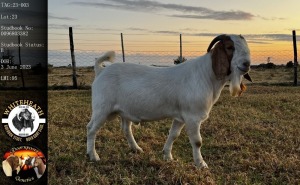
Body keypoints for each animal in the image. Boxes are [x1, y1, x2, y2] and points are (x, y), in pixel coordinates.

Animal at [86, 34, 251, 168]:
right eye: (230, 47)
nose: (246, 64)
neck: (206, 75)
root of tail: (100, 71)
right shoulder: (192, 117)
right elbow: (197, 141)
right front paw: (201, 164)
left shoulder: (180, 117)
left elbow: (173, 135)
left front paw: (167, 156)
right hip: (102, 109)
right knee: (91, 129)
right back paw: (93, 156)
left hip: (124, 110)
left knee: (126, 129)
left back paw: (136, 149)